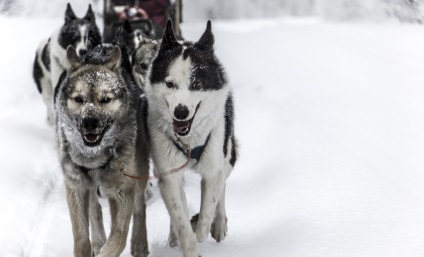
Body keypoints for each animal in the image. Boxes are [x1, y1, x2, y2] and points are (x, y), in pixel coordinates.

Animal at [55, 43, 150, 255]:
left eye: (105, 99)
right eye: (79, 99)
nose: (90, 122)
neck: (95, 157)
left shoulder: (122, 189)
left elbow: (118, 237)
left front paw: (108, 249)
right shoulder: (76, 186)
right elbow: (81, 237)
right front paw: (93, 246)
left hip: (138, 173)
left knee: (140, 205)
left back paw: (140, 243)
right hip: (88, 185)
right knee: (95, 210)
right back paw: (98, 242)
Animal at [145, 20, 238, 256]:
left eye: (196, 84)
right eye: (169, 84)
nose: (181, 112)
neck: (189, 142)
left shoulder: (213, 168)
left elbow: (205, 218)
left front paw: (202, 225)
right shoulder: (168, 175)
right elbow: (180, 219)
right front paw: (187, 245)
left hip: (228, 153)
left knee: (222, 185)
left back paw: (219, 223)